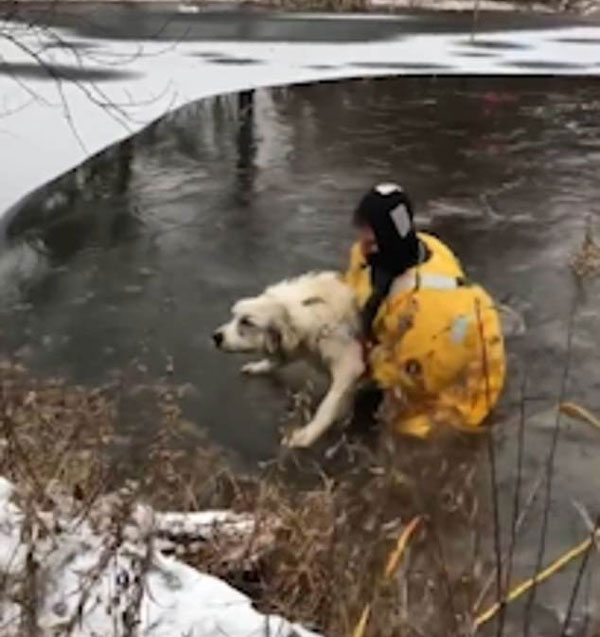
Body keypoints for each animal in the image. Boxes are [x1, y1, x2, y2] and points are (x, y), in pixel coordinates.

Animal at [216, 272, 366, 448]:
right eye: (235, 316)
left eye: (247, 322)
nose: (215, 337)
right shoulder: (301, 346)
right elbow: (279, 359)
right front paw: (259, 366)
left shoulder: (350, 366)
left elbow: (328, 406)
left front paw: (309, 434)